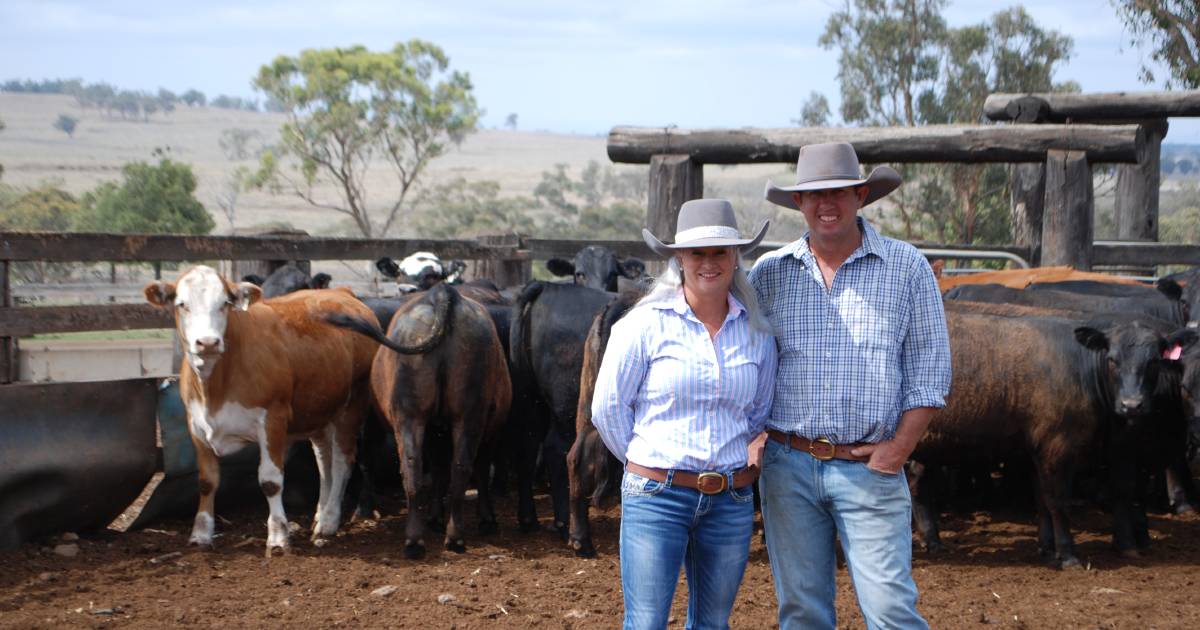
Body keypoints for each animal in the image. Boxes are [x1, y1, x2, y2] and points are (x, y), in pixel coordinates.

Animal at [508, 279, 614, 535]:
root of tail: (547, 286)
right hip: (565, 408)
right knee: (558, 449)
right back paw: (565, 521)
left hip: (530, 399)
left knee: (527, 444)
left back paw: (528, 518)